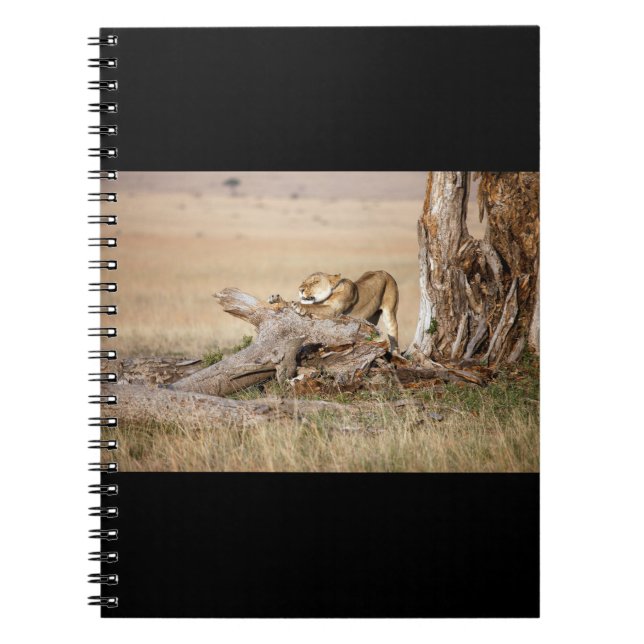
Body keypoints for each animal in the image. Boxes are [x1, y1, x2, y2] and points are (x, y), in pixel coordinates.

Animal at [269, 270, 399, 350]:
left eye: (315, 282)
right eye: (303, 282)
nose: (300, 289)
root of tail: (384, 272)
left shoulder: (333, 311)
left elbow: (312, 307)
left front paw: (299, 307)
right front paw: (277, 300)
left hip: (390, 314)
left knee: (394, 338)